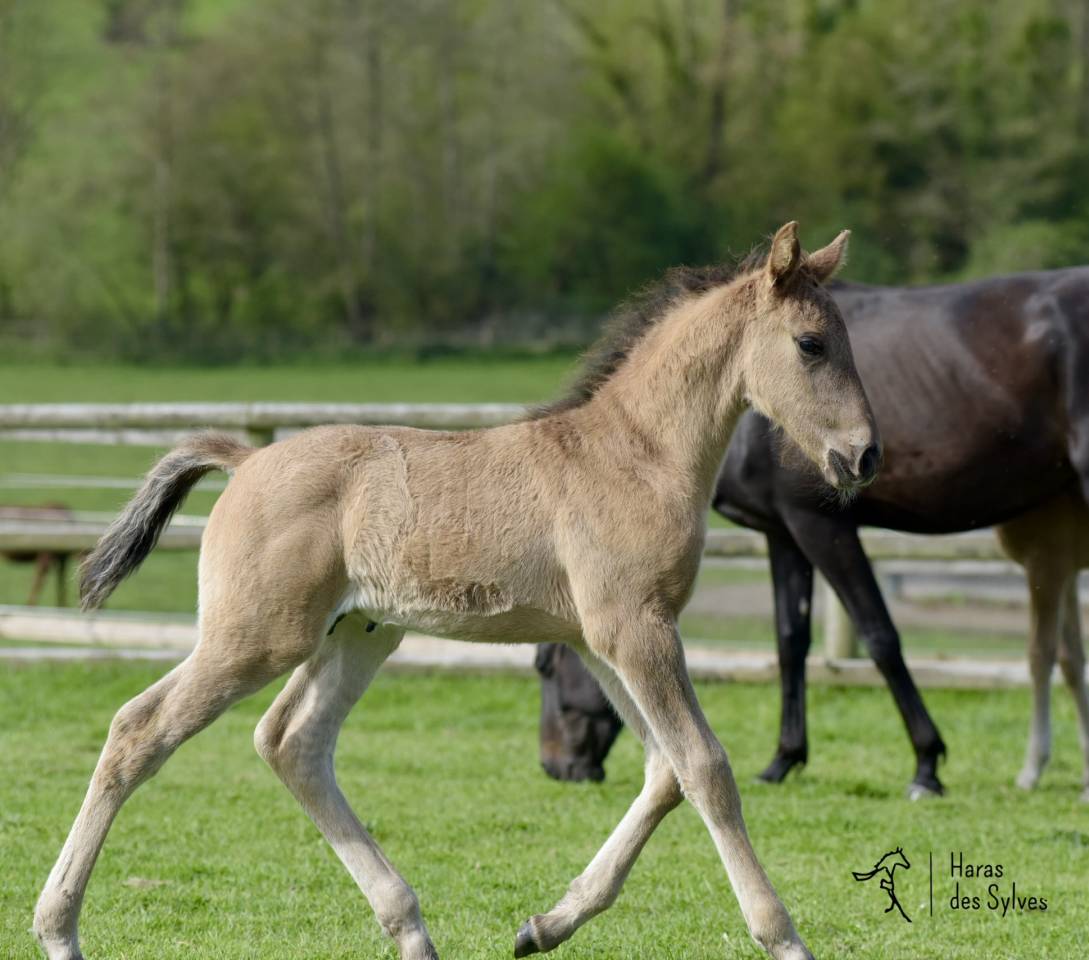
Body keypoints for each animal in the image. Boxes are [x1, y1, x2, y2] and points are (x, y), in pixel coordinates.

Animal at [34, 222, 878, 960]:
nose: (864, 456)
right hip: (256, 638)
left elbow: (663, 771)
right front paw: (784, 937)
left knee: (292, 742)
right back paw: (58, 930)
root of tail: (244, 461)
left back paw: (410, 929)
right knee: (139, 730)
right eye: (810, 344)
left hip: (359, 634)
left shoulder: (599, 639)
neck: (634, 455)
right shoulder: (635, 629)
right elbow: (705, 768)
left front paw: (544, 926)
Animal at [535, 266, 1089, 801]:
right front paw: (784, 760)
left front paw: (926, 765)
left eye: (543, 666)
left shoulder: (820, 526)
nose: (557, 768)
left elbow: (879, 635)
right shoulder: (781, 533)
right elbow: (791, 640)